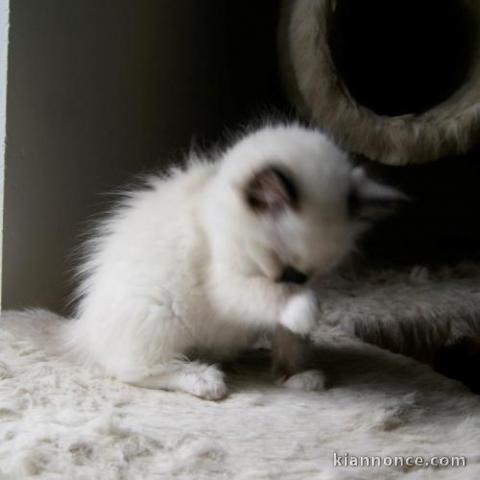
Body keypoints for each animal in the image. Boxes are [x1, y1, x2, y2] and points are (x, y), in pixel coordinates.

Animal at [62, 123, 402, 398]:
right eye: (285, 268)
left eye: (305, 274)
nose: (295, 282)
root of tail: (81, 331)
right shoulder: (225, 285)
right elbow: (270, 297)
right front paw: (307, 312)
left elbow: (289, 342)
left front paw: (293, 376)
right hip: (159, 310)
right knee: (134, 370)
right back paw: (204, 379)